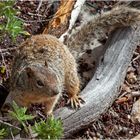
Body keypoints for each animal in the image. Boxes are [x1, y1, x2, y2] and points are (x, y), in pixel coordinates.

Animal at [6, 5, 140, 115]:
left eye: (55, 76)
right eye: (39, 83)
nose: (56, 91)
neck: (37, 96)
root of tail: (66, 48)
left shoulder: (53, 95)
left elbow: (51, 104)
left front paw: (48, 114)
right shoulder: (18, 94)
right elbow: (20, 108)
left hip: (70, 73)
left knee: (73, 85)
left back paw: (73, 97)